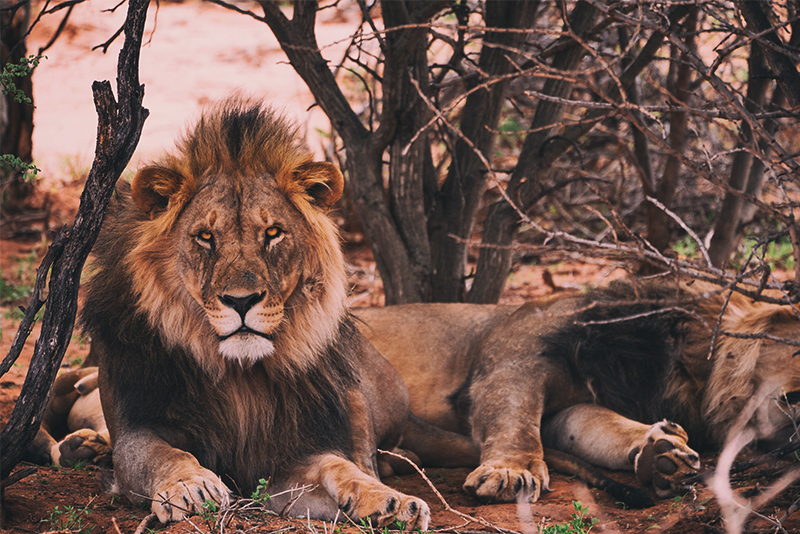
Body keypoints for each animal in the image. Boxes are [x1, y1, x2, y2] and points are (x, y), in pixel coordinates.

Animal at [61, 99, 432, 527]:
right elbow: (163, 454)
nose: (241, 301)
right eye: (206, 237)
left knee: (365, 452)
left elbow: (337, 465)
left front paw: (390, 501)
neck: (239, 377)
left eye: (272, 233)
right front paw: (193, 486)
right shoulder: (136, 428)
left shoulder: (286, 457)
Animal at [353, 279, 800, 503]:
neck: (692, 372)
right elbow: (515, 416)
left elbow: (603, 428)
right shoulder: (518, 352)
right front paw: (511, 472)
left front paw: (664, 455)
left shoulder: (577, 405)